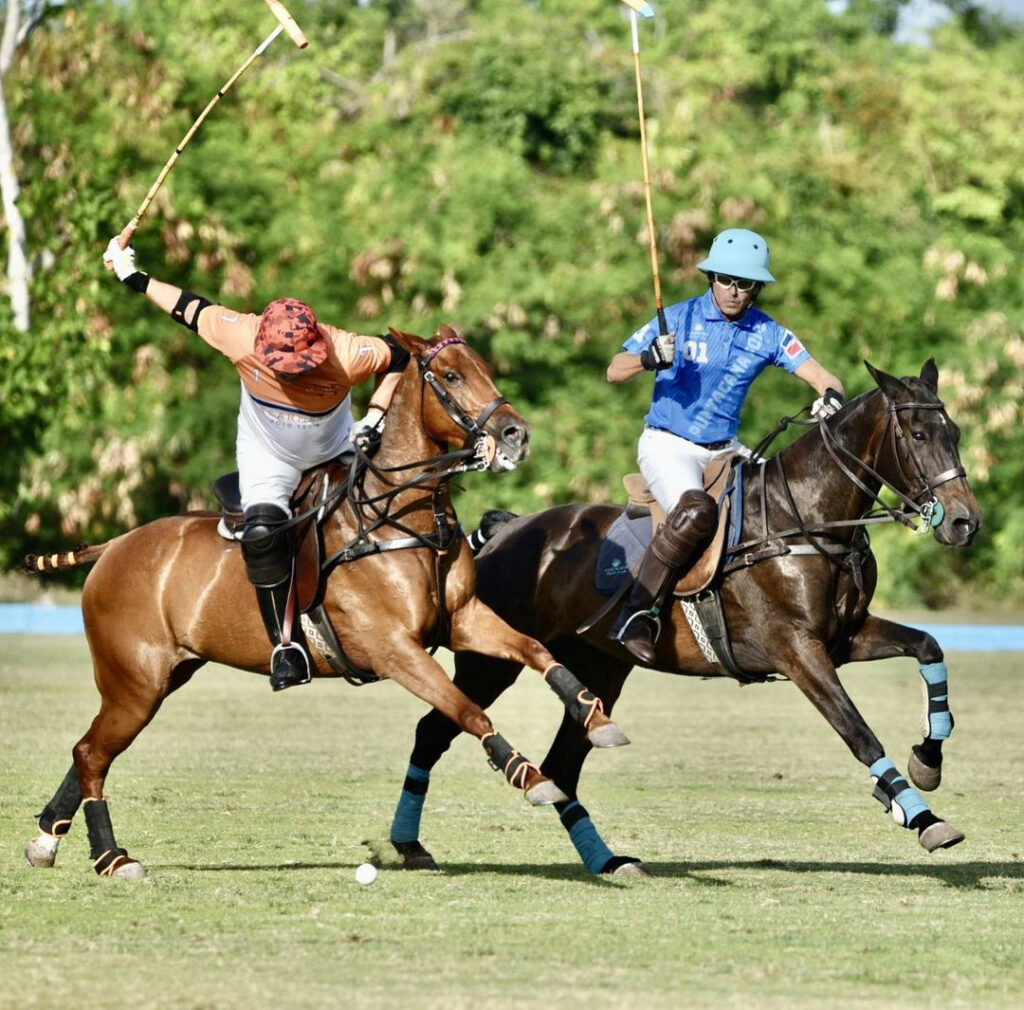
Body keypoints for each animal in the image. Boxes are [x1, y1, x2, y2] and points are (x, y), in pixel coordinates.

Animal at [24, 327, 626, 872]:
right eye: (452, 376)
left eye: (484, 368)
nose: (516, 434)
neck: (400, 517)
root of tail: (114, 545)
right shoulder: (394, 649)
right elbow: (467, 709)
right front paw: (530, 776)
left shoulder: (462, 620)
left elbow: (537, 651)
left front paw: (594, 716)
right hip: (135, 680)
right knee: (93, 753)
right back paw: (111, 856)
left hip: (161, 677)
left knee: (89, 751)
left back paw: (48, 841)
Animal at [385, 362, 983, 872]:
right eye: (919, 436)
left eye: (953, 431)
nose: (964, 523)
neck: (808, 521)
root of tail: (507, 529)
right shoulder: (796, 649)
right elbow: (858, 733)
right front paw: (922, 817)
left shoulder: (844, 637)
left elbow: (928, 646)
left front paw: (927, 762)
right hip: (493, 660)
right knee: (433, 731)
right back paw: (410, 845)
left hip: (599, 669)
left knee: (563, 765)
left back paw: (608, 861)